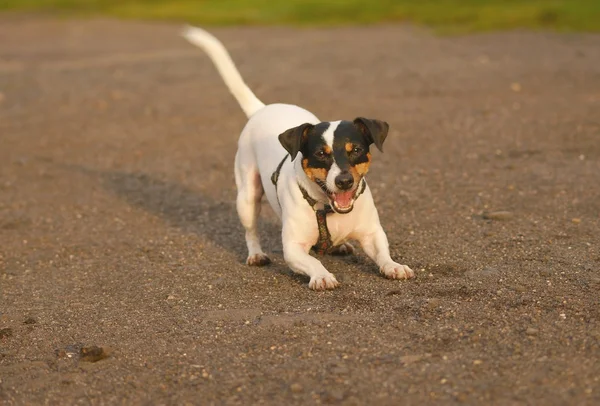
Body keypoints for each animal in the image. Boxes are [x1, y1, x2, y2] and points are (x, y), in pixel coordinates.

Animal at [183, 25, 414, 290]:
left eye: (355, 150)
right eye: (320, 154)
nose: (344, 181)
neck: (328, 208)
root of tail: (263, 108)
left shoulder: (372, 233)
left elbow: (383, 253)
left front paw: (394, 266)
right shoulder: (293, 248)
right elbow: (312, 261)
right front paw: (322, 276)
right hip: (247, 197)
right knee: (251, 230)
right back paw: (256, 254)